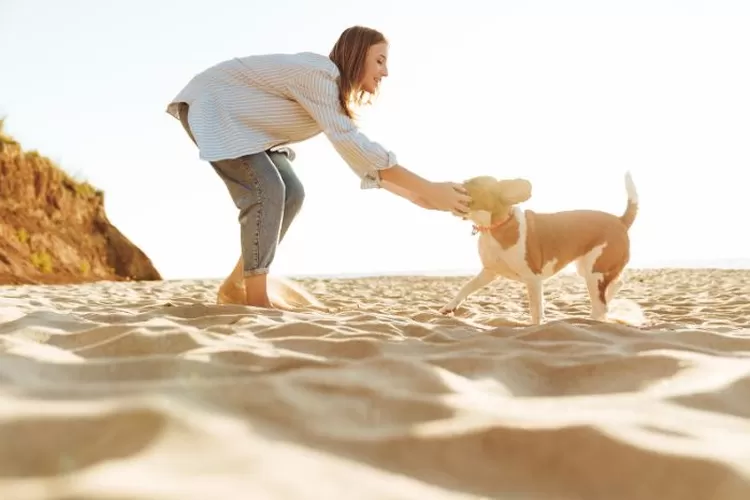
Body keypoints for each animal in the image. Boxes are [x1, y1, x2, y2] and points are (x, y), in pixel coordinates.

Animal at [440, 172, 640, 324]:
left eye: (471, 183)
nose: (448, 187)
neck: (493, 227)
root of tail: (620, 221)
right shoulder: (489, 272)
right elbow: (465, 287)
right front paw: (449, 307)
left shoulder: (533, 279)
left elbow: (536, 311)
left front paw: (534, 328)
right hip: (588, 269)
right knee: (613, 288)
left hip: (594, 272)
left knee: (601, 306)